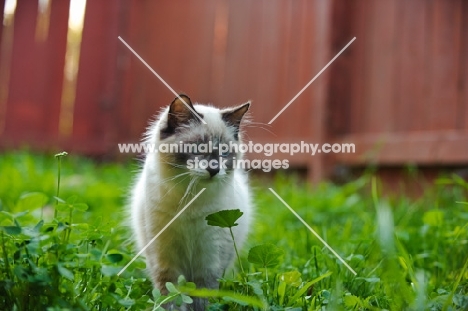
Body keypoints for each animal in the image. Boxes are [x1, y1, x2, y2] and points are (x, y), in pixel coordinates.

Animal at [130, 94, 252, 310]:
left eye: (224, 153)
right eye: (198, 149)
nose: (214, 169)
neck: (189, 198)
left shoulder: (209, 259)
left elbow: (202, 297)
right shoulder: (165, 259)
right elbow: (171, 297)